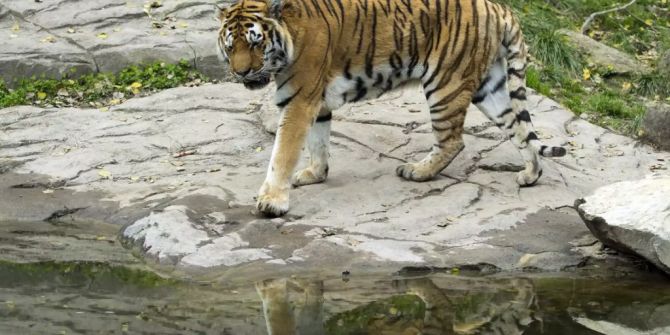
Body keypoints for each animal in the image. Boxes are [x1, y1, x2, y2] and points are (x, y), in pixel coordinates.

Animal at [215, 0, 568, 218]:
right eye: (231, 46)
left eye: (256, 42)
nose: (241, 72)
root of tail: (498, 7)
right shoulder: (316, 102)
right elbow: (318, 142)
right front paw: (315, 174)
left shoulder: (300, 100)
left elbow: (283, 153)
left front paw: (271, 202)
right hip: (489, 87)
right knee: (519, 127)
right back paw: (530, 175)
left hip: (446, 83)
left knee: (453, 141)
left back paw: (417, 171)